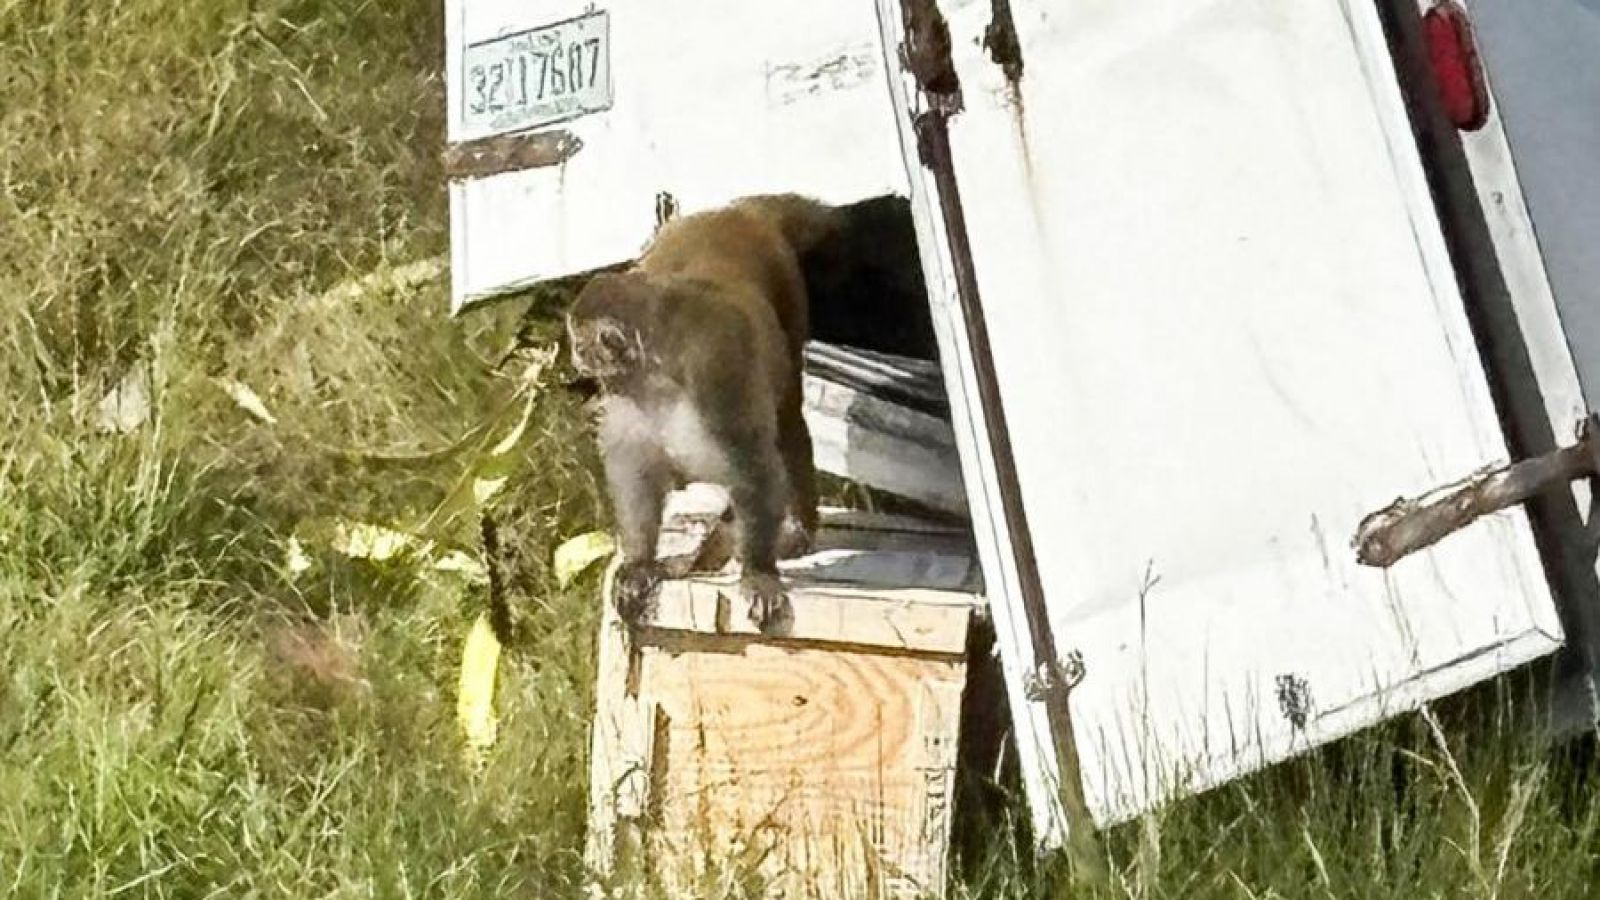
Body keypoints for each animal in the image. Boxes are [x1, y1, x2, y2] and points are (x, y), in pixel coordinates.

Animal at [566, 193, 844, 634]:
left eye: (580, 343)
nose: (575, 357)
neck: (658, 373)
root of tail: (735, 212)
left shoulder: (716, 373)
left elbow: (753, 466)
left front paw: (758, 572)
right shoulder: (627, 397)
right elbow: (636, 471)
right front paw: (640, 562)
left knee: (787, 418)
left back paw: (798, 529)